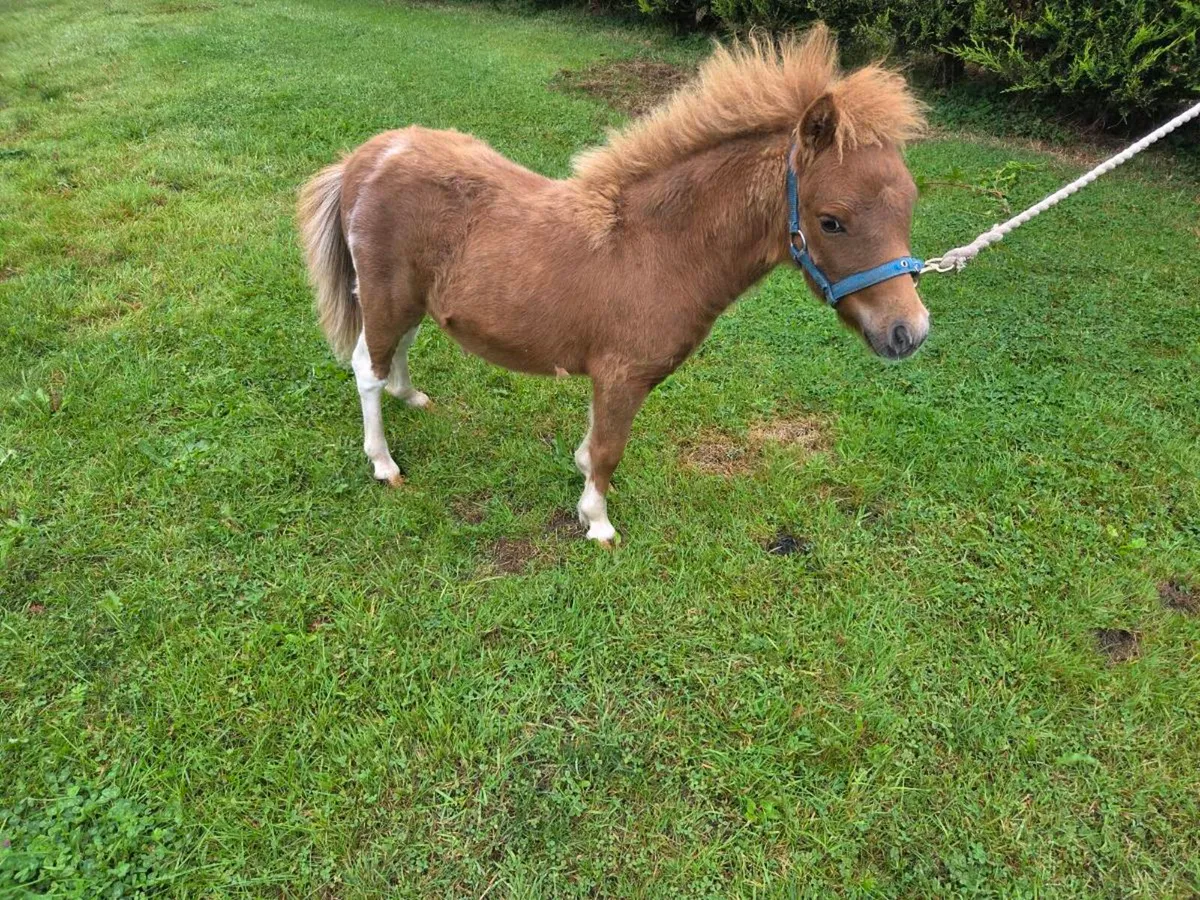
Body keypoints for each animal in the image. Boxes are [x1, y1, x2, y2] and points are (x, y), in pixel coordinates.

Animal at [297, 26, 929, 545]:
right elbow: (608, 449)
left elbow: (592, 446)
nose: (909, 332)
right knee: (367, 366)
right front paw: (597, 522)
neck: (659, 247)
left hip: (411, 298)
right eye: (831, 221)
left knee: (396, 350)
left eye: (909, 204)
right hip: (384, 292)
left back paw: (412, 396)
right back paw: (384, 464)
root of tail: (365, 159)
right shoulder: (622, 375)